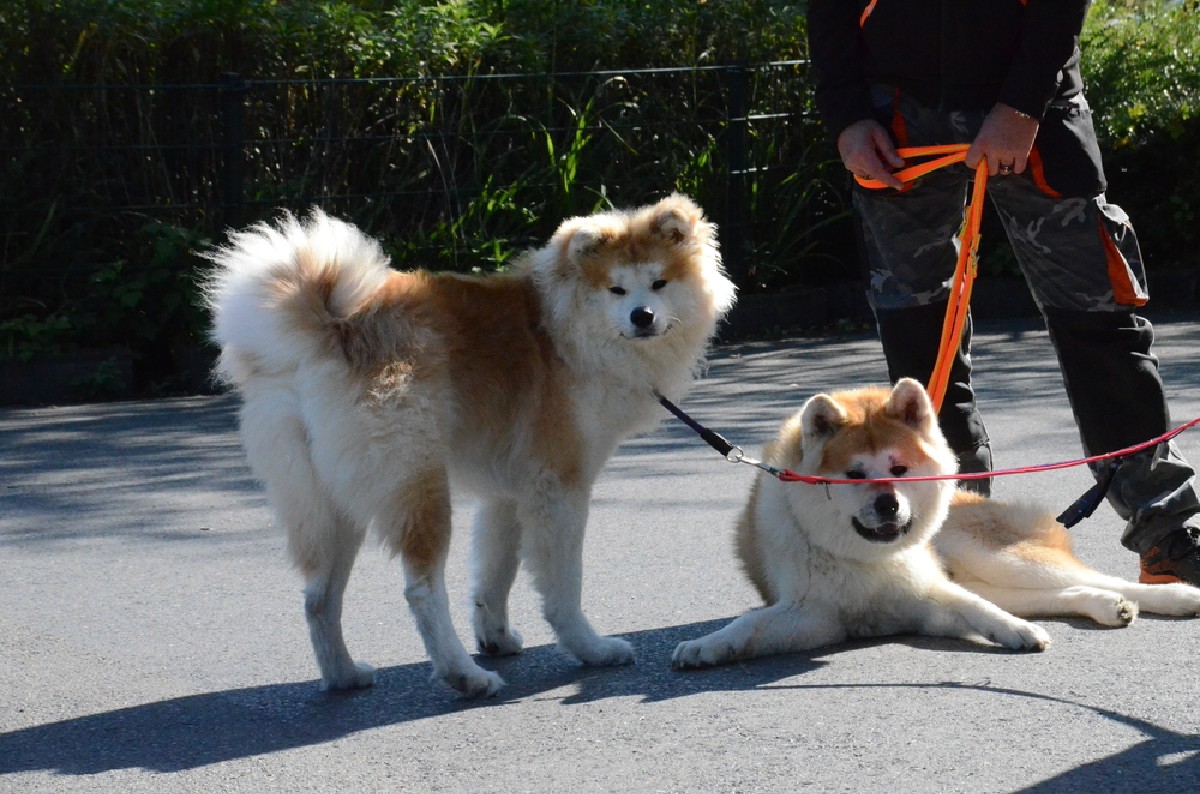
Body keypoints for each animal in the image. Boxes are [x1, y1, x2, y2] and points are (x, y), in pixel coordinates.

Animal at [204, 195, 735, 695]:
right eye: (617, 290)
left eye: (659, 283)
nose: (641, 316)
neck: (566, 330)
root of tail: (335, 330)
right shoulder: (558, 486)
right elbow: (562, 585)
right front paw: (590, 648)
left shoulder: (508, 491)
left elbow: (494, 575)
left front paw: (495, 638)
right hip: (418, 484)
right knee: (421, 590)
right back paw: (465, 676)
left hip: (332, 502)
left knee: (319, 598)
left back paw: (345, 676)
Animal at [673, 379, 1200, 669]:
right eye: (853, 475)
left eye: (900, 468)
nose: (888, 505)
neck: (867, 561)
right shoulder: (813, 616)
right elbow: (748, 625)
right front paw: (705, 647)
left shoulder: (928, 594)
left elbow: (979, 611)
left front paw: (1016, 633)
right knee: (1063, 592)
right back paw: (1109, 607)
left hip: (990, 555)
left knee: (1096, 579)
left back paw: (1175, 597)